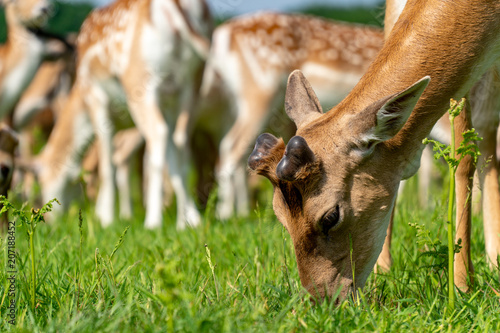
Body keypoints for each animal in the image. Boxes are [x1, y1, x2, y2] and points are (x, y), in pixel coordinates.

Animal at [35, 0, 211, 228]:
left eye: (42, 180)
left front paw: (106, 220)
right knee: (180, 140)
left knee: (158, 134)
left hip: (141, 80)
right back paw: (187, 221)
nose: (49, 219)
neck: (80, 100)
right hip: (193, 83)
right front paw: (189, 220)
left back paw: (153, 221)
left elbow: (107, 162)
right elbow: (171, 155)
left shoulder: (96, 99)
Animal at [249, 0, 500, 300]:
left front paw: (462, 284)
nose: (323, 299)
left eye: (331, 216)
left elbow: (463, 155)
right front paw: (384, 273)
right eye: (279, 215)